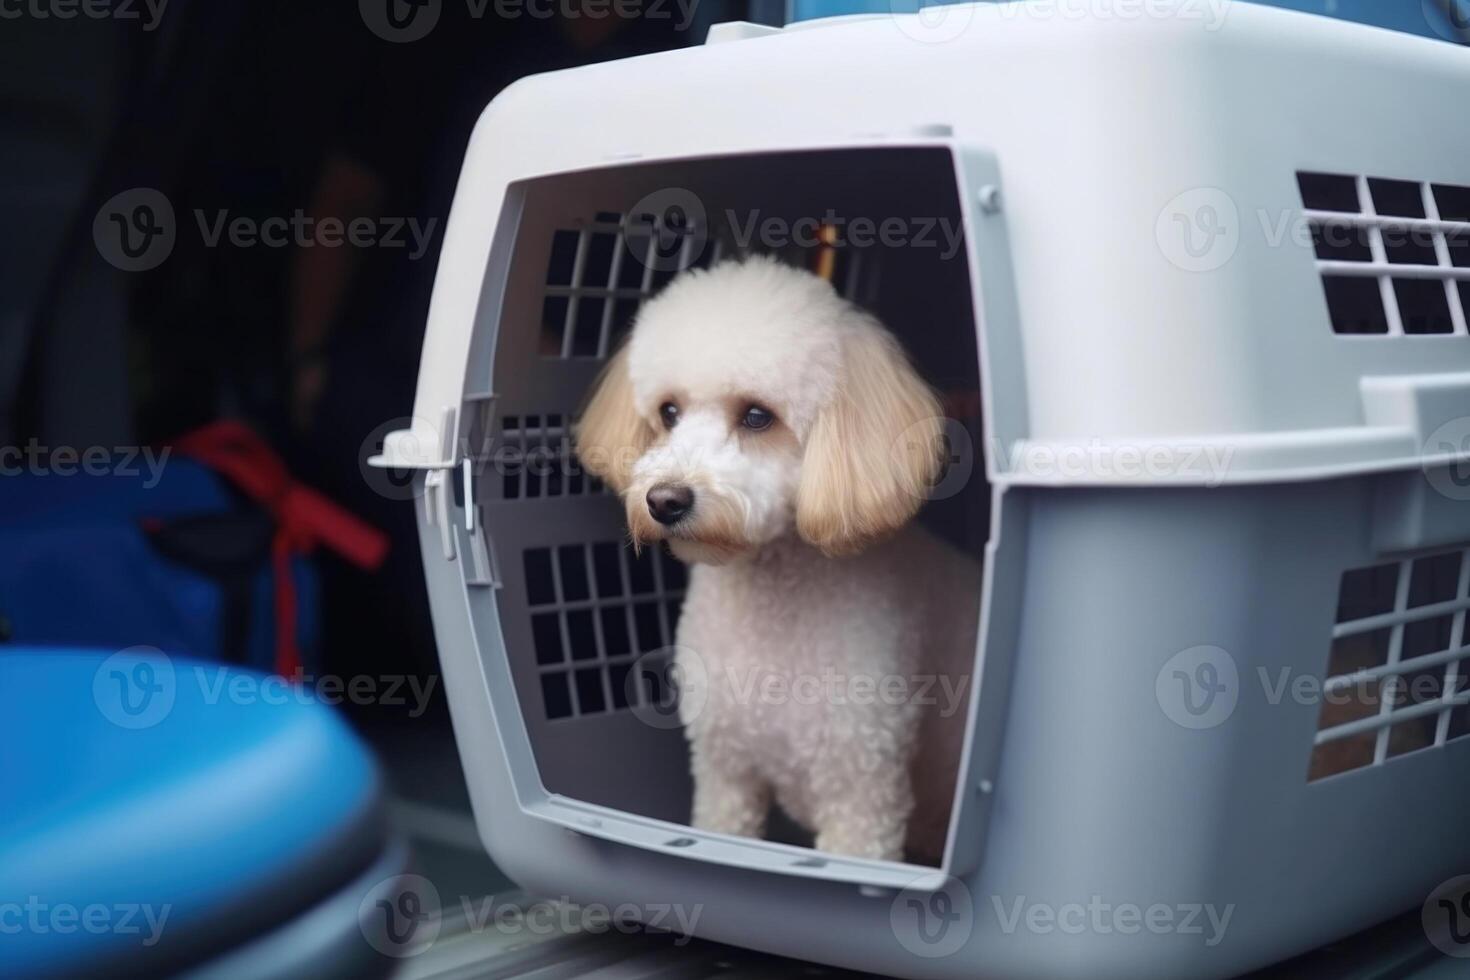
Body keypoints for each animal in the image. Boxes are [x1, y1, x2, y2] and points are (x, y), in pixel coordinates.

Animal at [573, 257, 976, 863]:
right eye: (669, 412)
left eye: (758, 417)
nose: (664, 501)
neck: (771, 599)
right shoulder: (725, 774)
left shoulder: (862, 796)